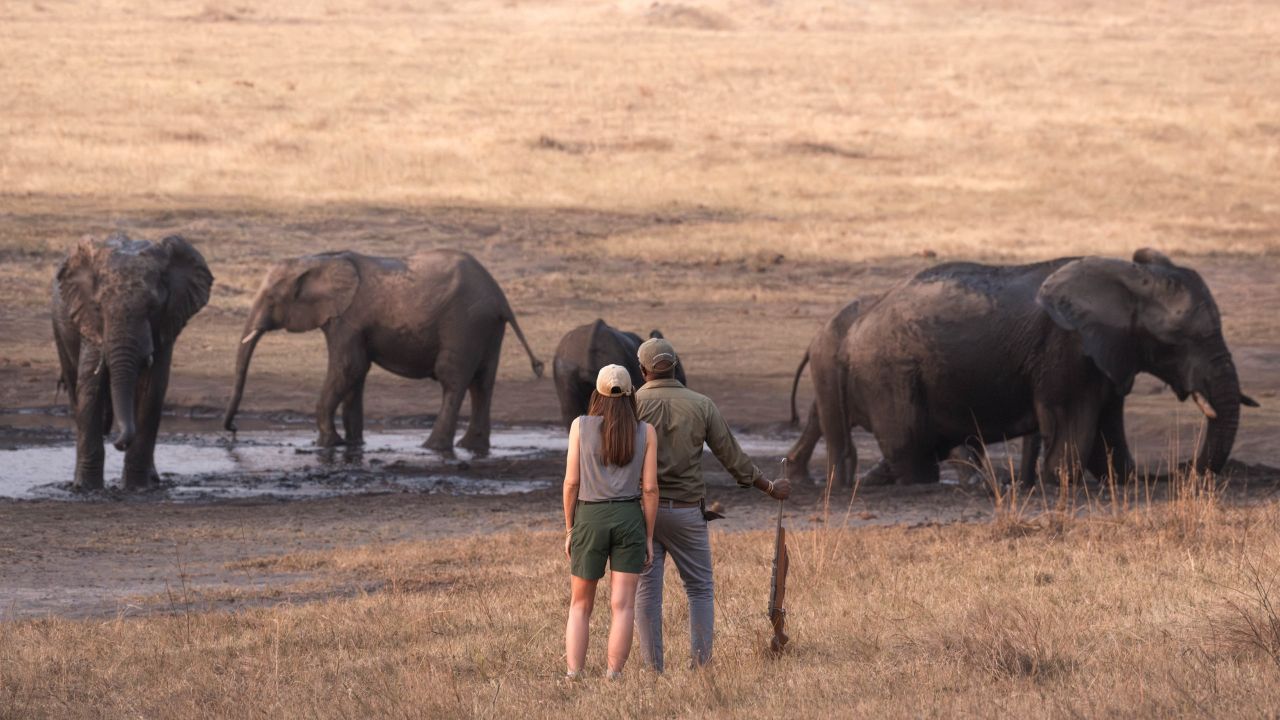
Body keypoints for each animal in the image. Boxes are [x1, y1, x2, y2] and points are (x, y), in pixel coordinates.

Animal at [52, 233, 213, 491]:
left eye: (153, 307)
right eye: (98, 307)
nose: (119, 443)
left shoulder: (166, 321)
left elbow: (151, 391)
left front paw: (137, 488)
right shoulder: (89, 321)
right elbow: (90, 388)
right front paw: (86, 488)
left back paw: (153, 479)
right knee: (73, 387)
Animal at [223, 249, 544, 455]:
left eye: (271, 298)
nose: (233, 430)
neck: (319, 260)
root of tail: (500, 297)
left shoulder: (349, 319)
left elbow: (347, 368)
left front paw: (327, 444)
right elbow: (355, 375)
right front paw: (353, 444)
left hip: (464, 323)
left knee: (453, 379)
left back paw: (432, 447)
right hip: (487, 327)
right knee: (483, 383)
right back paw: (471, 447)